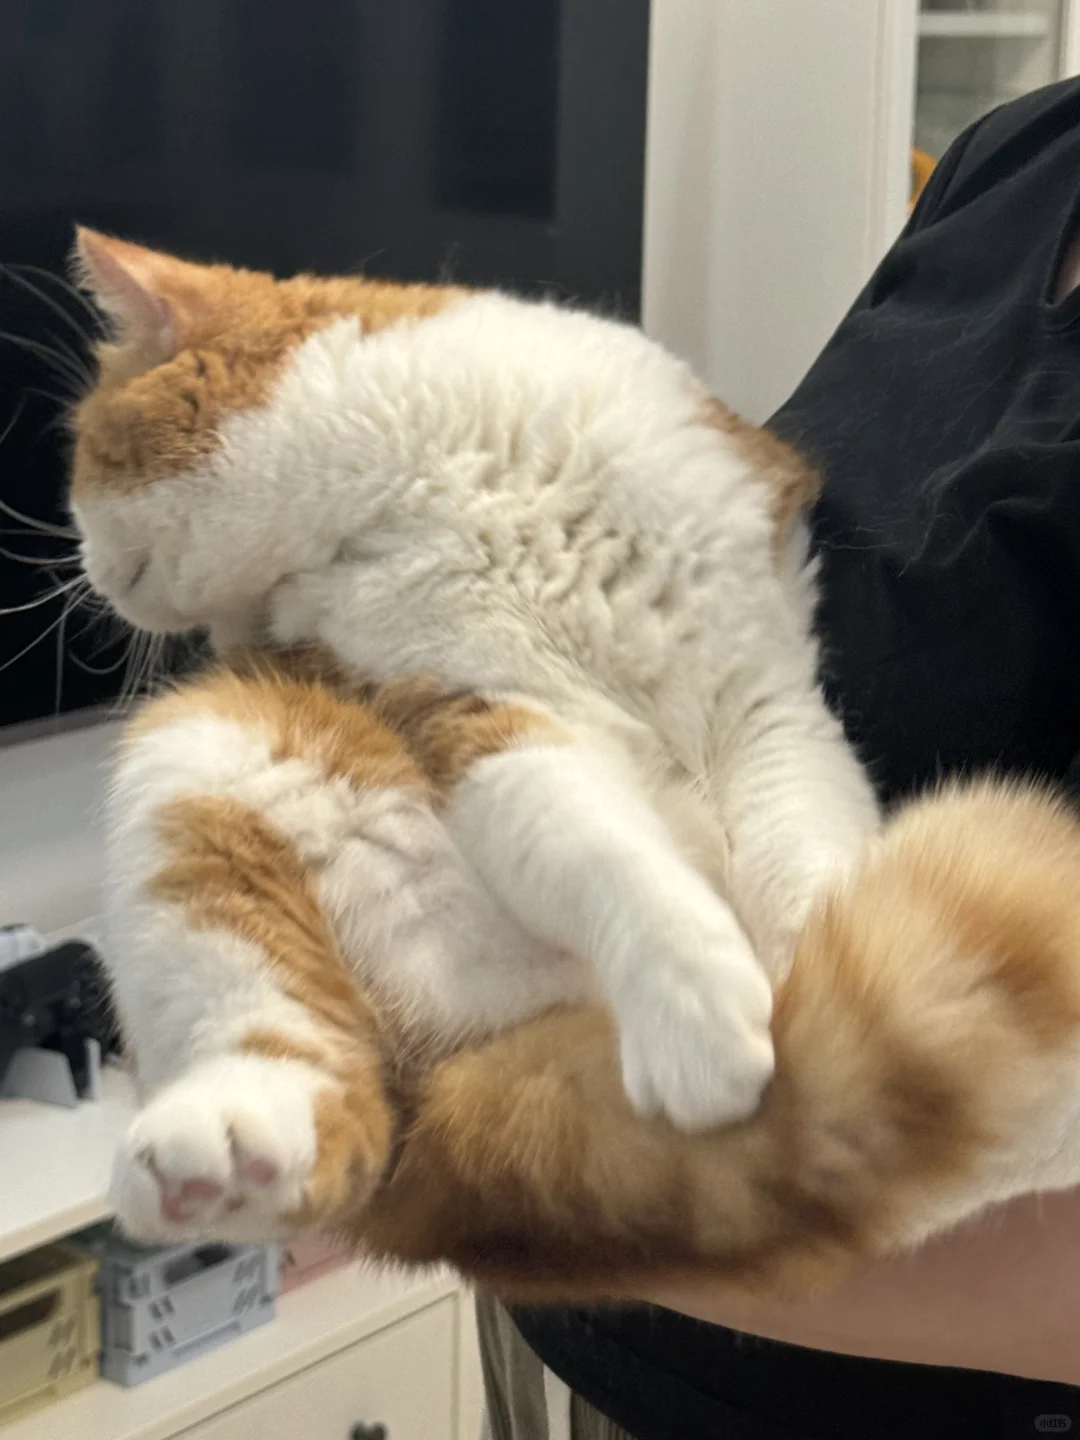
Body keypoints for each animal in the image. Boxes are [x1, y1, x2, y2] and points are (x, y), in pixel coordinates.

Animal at [70, 227, 878, 1139]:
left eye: (81, 454)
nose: (83, 565)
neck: (449, 470)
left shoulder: (764, 700)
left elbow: (808, 859)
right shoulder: (483, 711)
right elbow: (601, 850)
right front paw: (695, 1018)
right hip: (197, 762)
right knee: (299, 1050)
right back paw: (225, 1141)